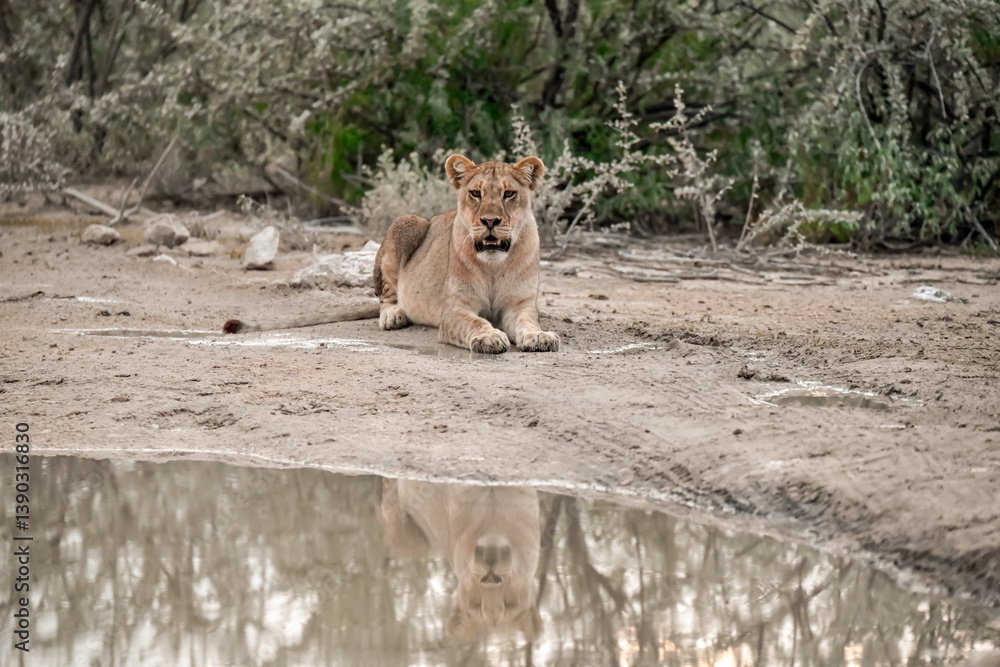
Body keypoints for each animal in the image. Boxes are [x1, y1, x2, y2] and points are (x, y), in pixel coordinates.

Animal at [223, 154, 559, 355]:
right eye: (475, 193)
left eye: (508, 193)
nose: (490, 221)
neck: (493, 266)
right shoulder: (454, 311)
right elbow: (475, 323)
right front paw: (489, 338)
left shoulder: (520, 305)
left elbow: (529, 323)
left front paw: (540, 337)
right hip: (406, 222)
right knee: (385, 297)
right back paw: (394, 316)